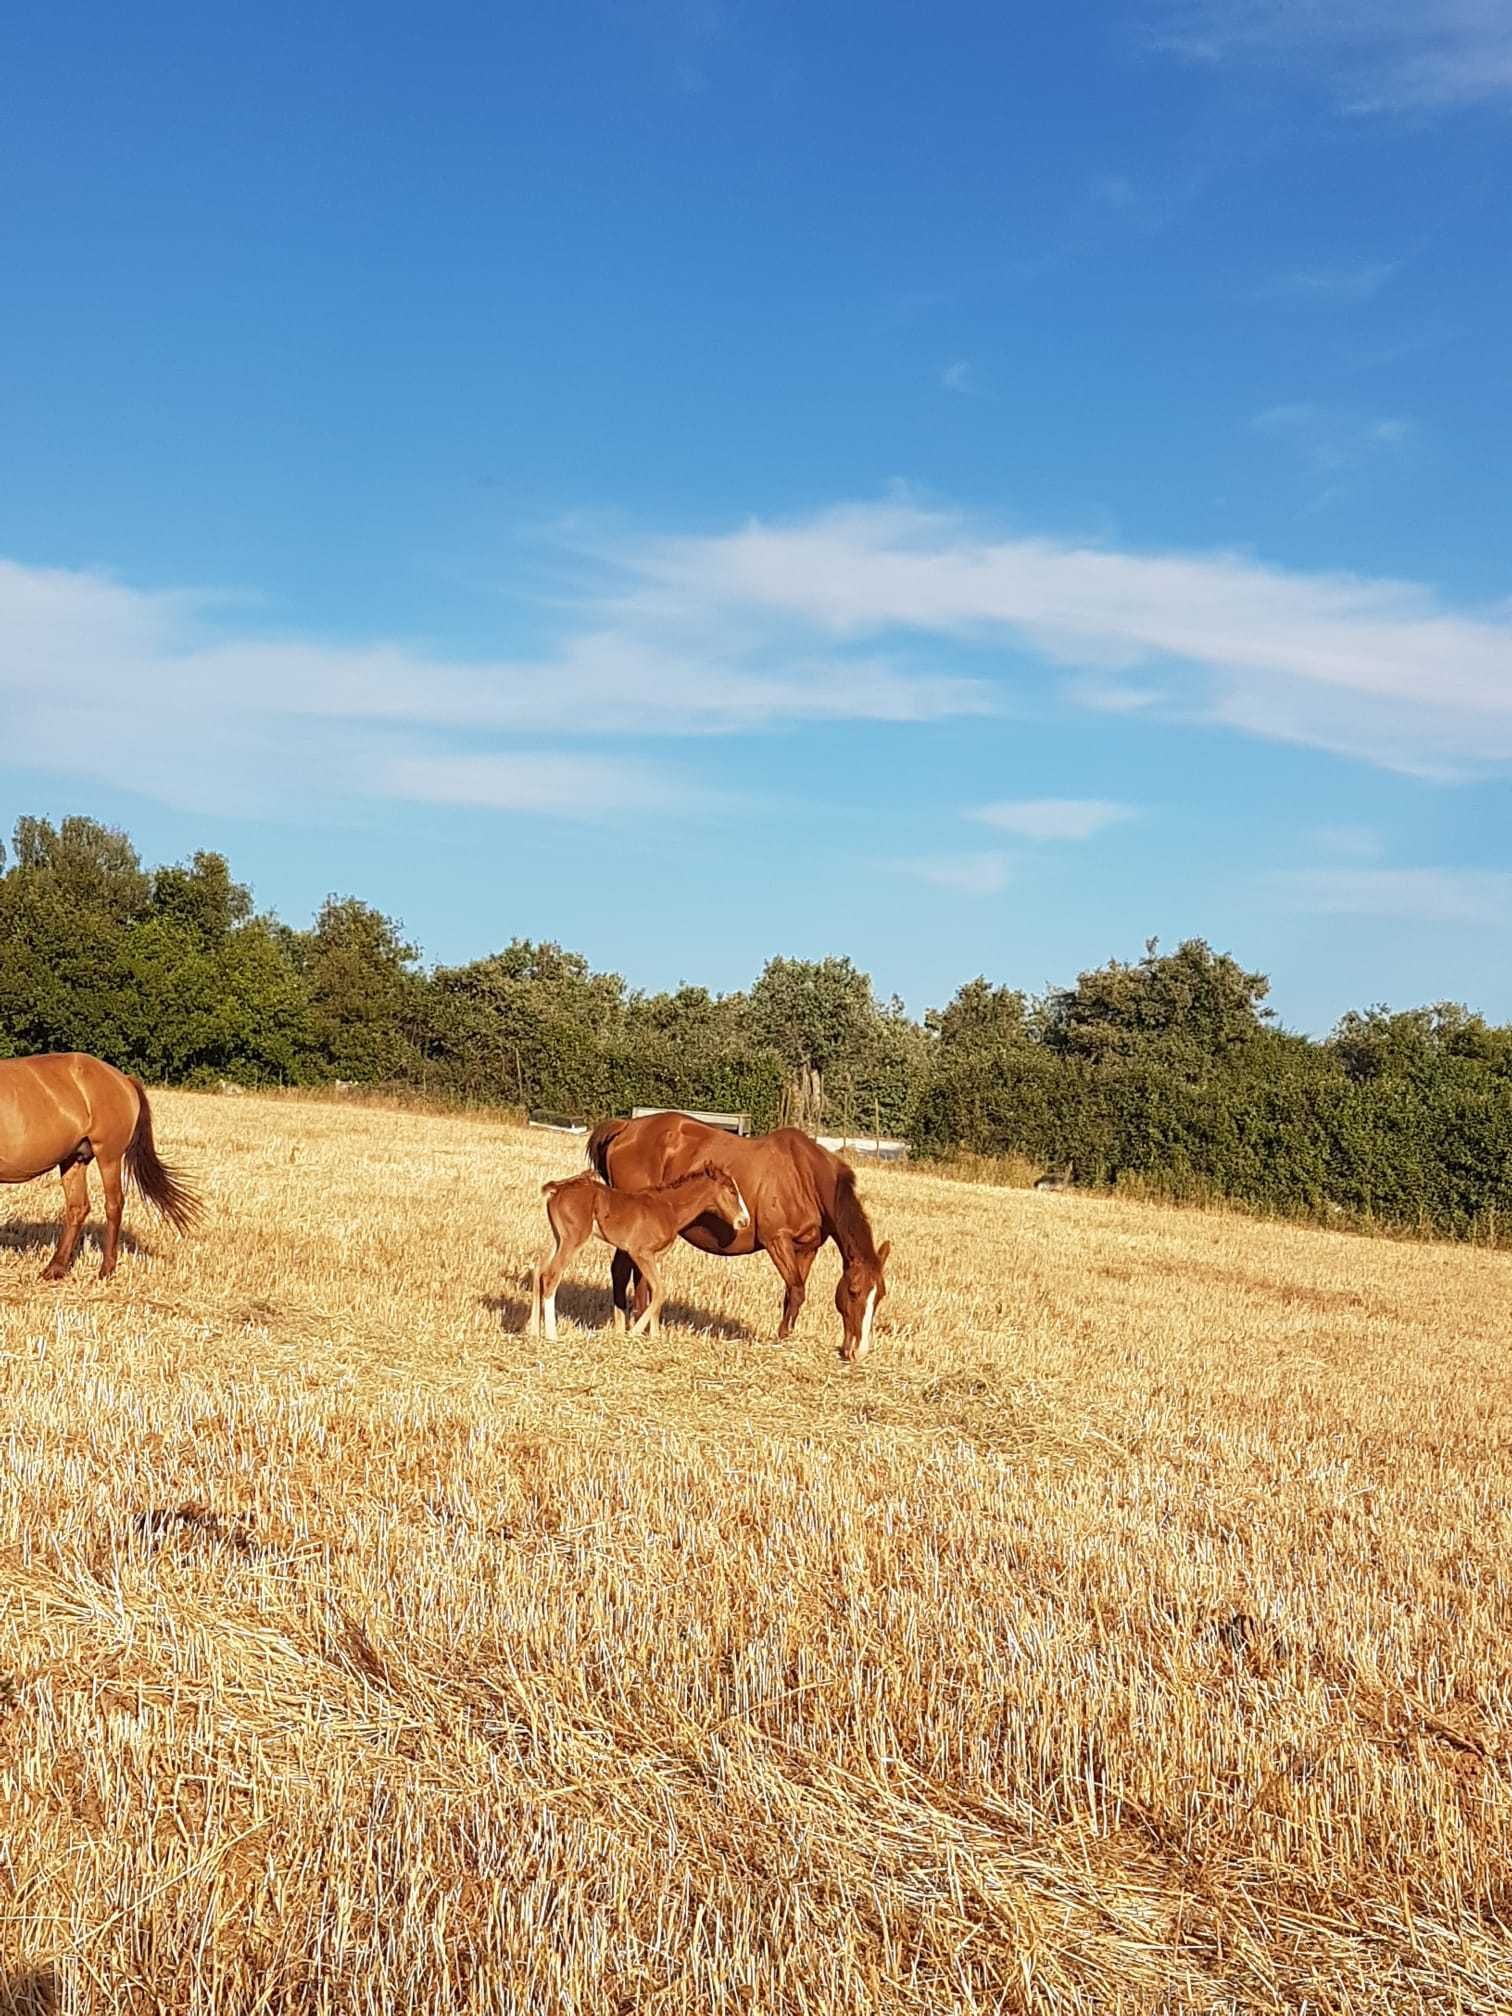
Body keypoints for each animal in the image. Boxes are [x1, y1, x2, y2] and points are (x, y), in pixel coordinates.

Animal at [0, 1056, 202, 1274]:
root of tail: (124, 1079)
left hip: (109, 1157)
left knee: (114, 1205)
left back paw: (106, 1269)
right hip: (74, 1159)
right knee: (77, 1208)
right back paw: (55, 1268)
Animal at [528, 1169, 753, 1338]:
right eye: (732, 1190)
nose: (745, 1220)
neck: (669, 1208)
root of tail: (557, 1189)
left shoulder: (656, 1256)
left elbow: (655, 1292)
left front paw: (654, 1336)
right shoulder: (640, 1253)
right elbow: (660, 1290)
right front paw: (634, 1332)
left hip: (558, 1238)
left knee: (539, 1270)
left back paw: (533, 1330)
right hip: (574, 1239)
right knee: (551, 1275)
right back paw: (552, 1335)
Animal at [584, 1112, 895, 1362]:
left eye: (879, 1295)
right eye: (853, 1291)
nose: (858, 1351)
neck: (804, 1175)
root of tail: (626, 1127)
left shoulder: (807, 1248)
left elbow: (793, 1293)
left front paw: (786, 1335)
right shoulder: (776, 1241)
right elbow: (796, 1290)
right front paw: (782, 1338)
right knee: (623, 1271)